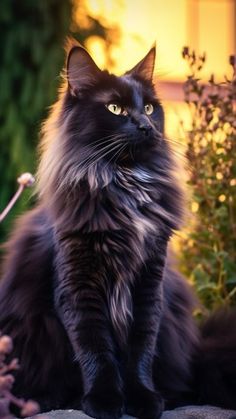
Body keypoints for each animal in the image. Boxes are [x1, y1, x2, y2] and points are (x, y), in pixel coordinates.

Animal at [0, 40, 236, 419]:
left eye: (150, 108)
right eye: (115, 108)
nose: (145, 126)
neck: (123, 184)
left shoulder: (149, 280)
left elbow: (140, 350)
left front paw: (143, 399)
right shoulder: (78, 283)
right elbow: (96, 349)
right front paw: (105, 401)